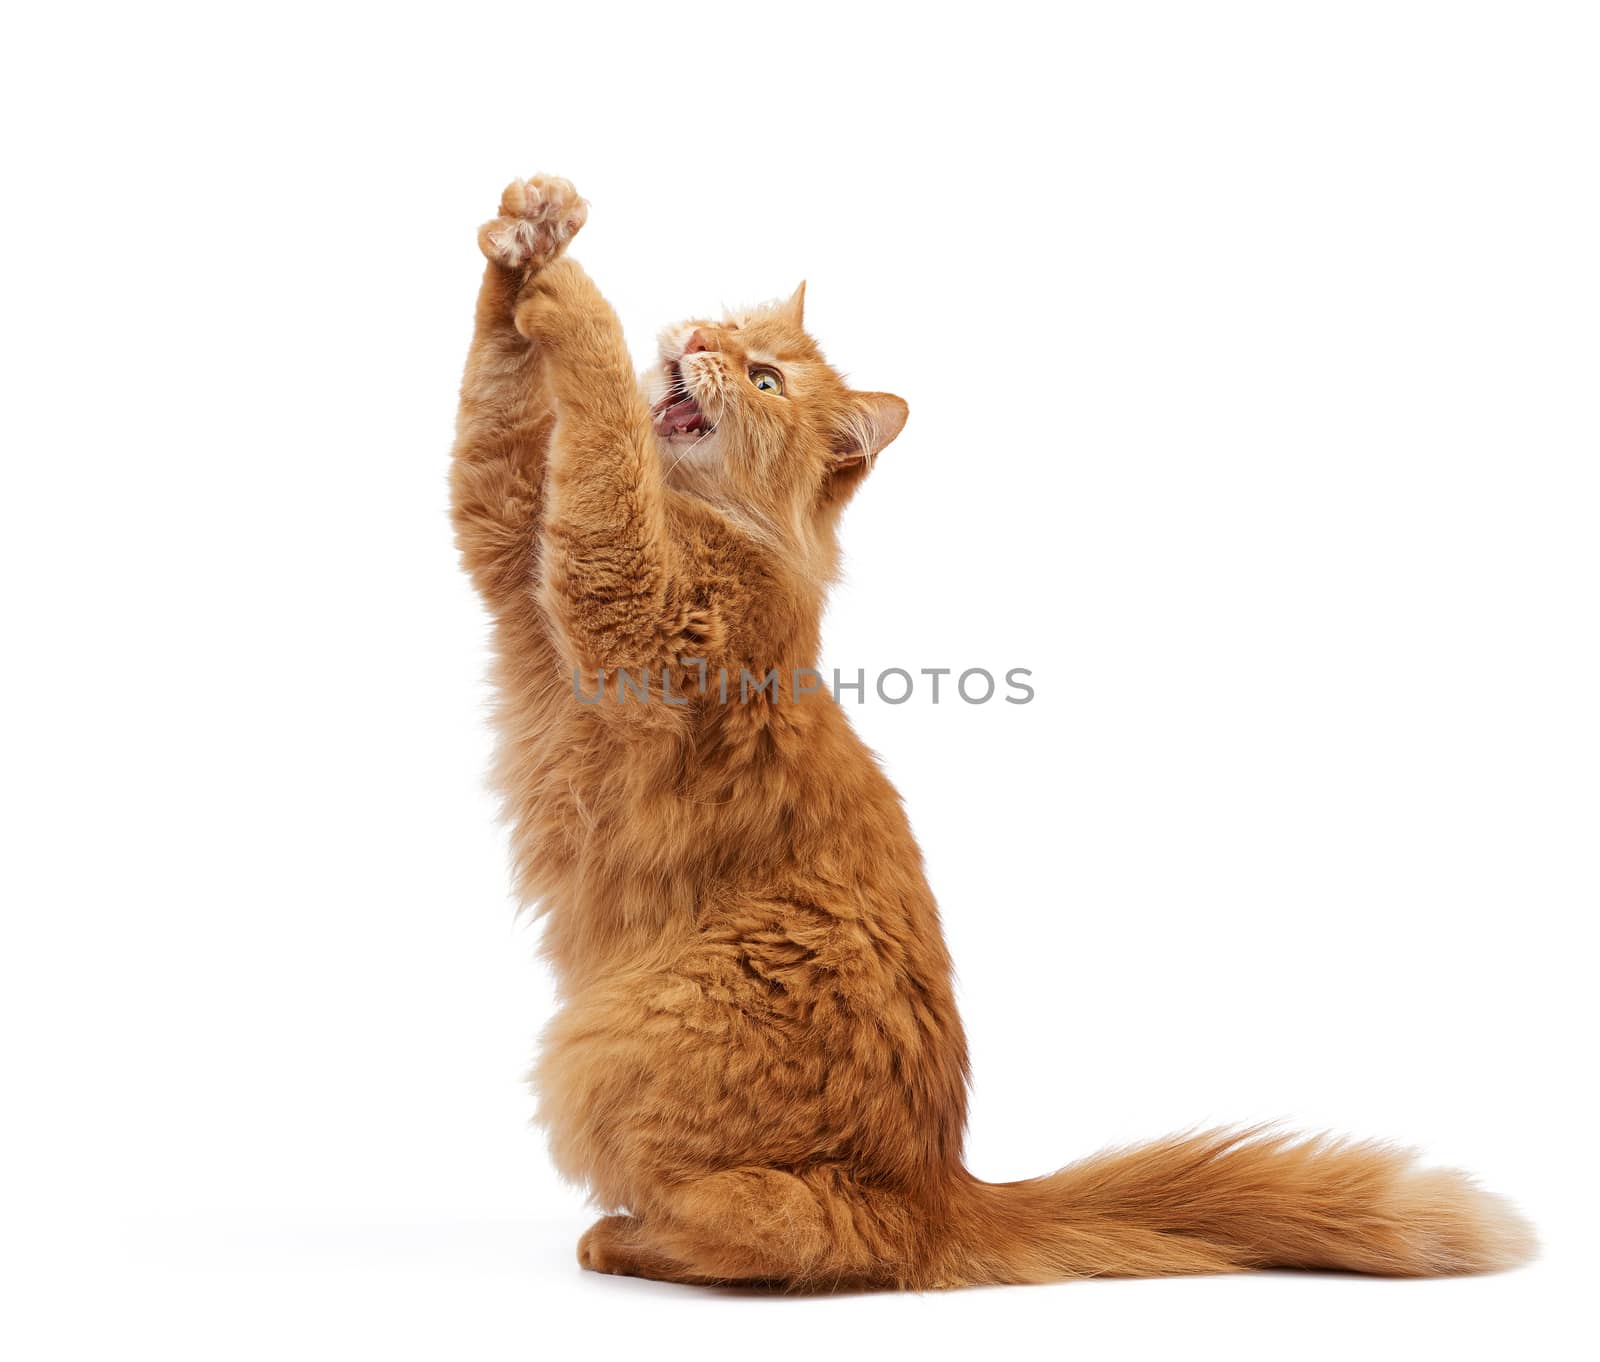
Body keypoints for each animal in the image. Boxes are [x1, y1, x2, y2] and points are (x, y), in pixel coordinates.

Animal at [454, 172, 1536, 1286]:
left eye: (762, 378)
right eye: (730, 329)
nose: (699, 338)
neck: (713, 518)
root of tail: (943, 1189)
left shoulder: (636, 608)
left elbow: (598, 433)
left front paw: (575, 296)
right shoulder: (508, 534)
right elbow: (499, 415)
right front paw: (521, 244)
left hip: (629, 1043)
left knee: (783, 1229)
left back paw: (628, 1238)